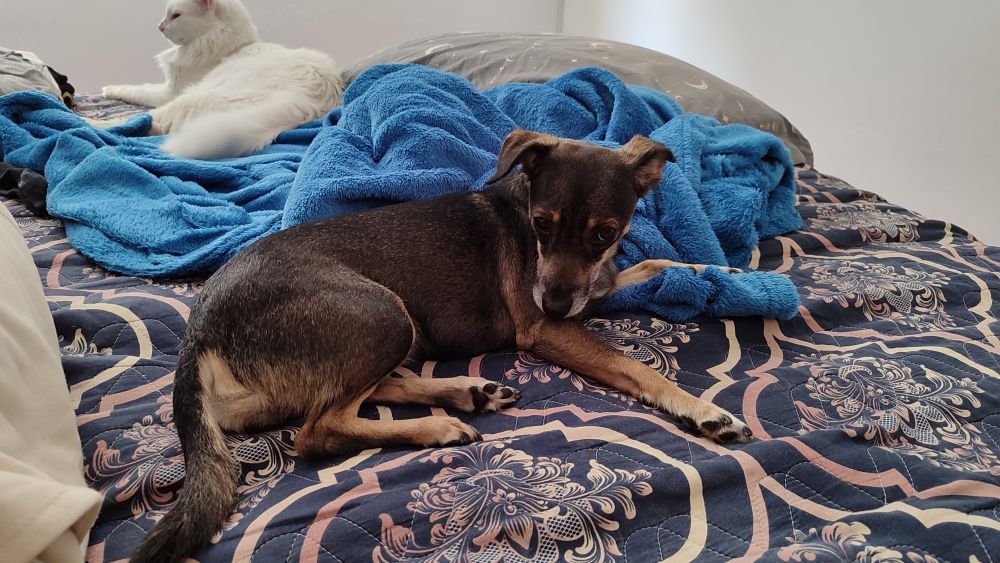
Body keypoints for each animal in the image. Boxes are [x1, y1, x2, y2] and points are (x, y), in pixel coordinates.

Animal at [103, 0, 343, 159]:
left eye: (175, 15)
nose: (160, 27)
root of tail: (309, 101)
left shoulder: (170, 91)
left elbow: (136, 89)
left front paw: (107, 89)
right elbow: (139, 89)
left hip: (192, 98)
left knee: (146, 122)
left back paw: (101, 125)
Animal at [131, 130, 752, 563]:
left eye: (604, 232)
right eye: (540, 225)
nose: (553, 302)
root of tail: (201, 325)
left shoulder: (592, 291)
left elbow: (656, 262)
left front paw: (721, 270)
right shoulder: (547, 330)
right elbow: (637, 367)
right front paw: (706, 411)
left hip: (391, 330)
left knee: (370, 390)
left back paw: (467, 391)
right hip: (383, 313)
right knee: (318, 429)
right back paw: (439, 425)